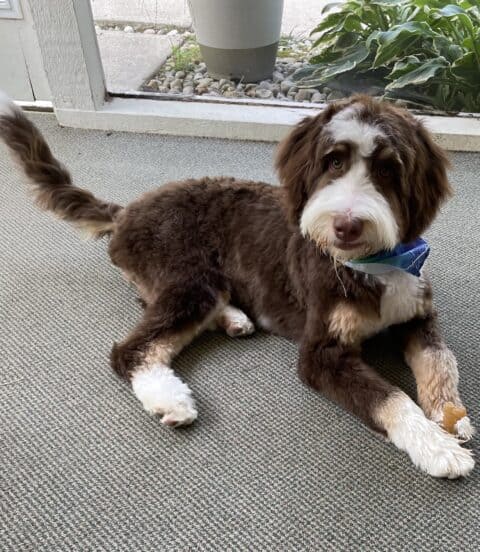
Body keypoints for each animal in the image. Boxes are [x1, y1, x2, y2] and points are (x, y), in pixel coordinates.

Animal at [0, 91, 472, 478]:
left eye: (388, 169)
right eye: (333, 161)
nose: (346, 225)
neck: (372, 263)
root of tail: (127, 210)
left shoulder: (418, 315)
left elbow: (440, 360)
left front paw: (452, 414)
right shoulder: (321, 353)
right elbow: (389, 397)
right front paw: (437, 448)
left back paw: (234, 319)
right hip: (189, 279)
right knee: (131, 349)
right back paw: (170, 398)